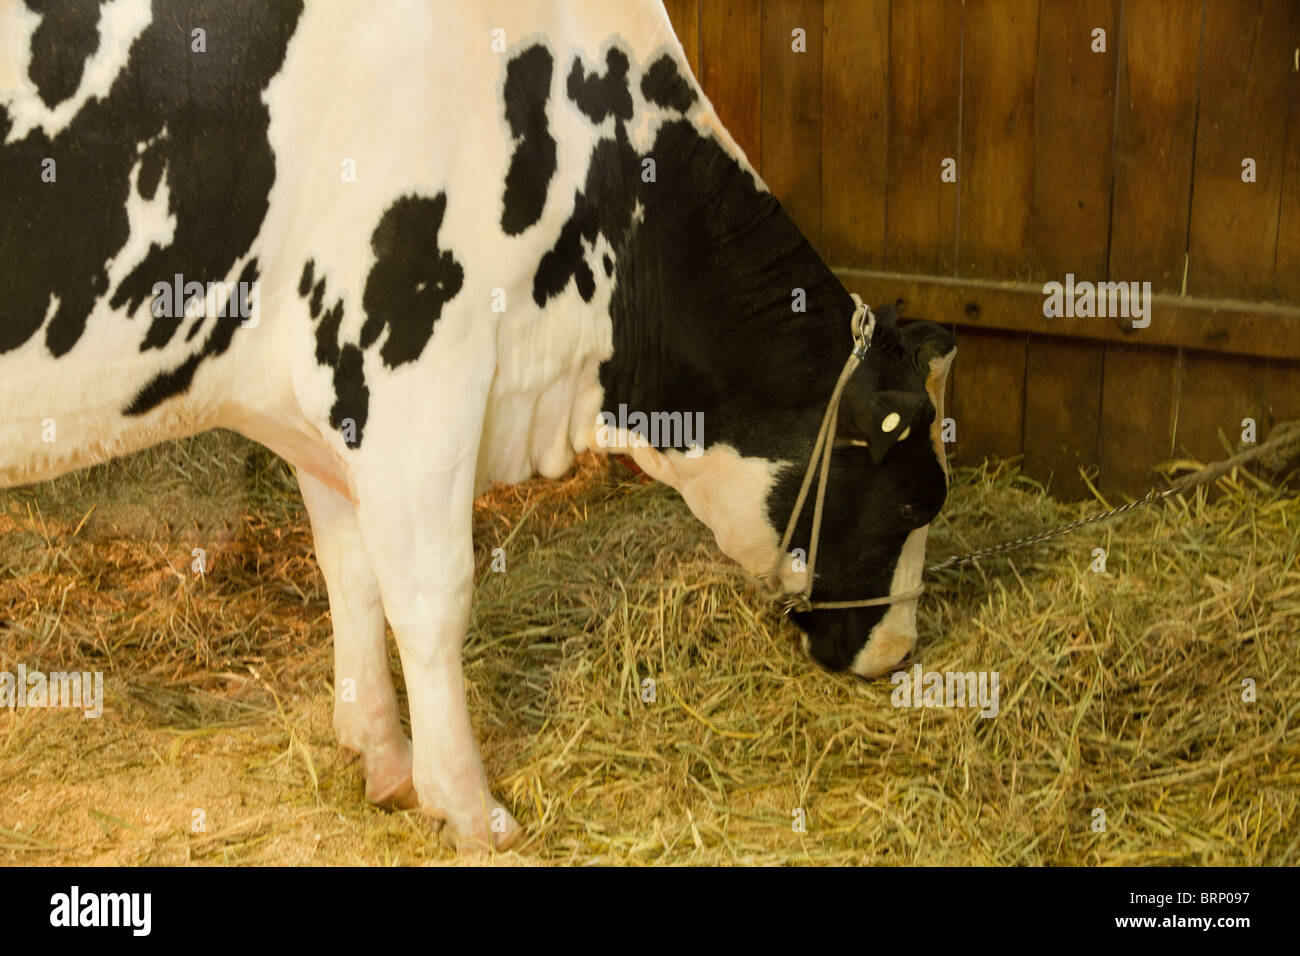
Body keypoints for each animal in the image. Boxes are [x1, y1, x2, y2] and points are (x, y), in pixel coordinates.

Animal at [0, 0, 956, 853]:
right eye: (918, 504)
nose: (899, 652)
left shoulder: (323, 394)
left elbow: (351, 574)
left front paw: (383, 758)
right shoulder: (413, 368)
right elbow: (432, 599)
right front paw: (466, 805)